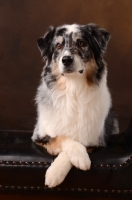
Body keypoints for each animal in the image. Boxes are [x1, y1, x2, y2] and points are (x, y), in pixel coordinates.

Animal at [31, 23, 118, 188]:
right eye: (58, 46)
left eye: (82, 43)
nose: (66, 59)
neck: (73, 90)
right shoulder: (39, 135)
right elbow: (62, 137)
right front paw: (56, 172)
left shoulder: (97, 140)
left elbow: (78, 142)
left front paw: (76, 161)